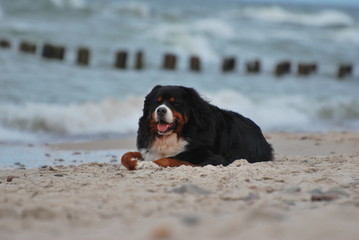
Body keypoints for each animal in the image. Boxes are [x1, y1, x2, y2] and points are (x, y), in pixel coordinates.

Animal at [121, 85, 272, 170]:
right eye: (156, 102)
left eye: (174, 103)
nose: (161, 110)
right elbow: (125, 155)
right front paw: (135, 163)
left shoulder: (211, 158)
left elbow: (171, 158)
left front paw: (151, 164)